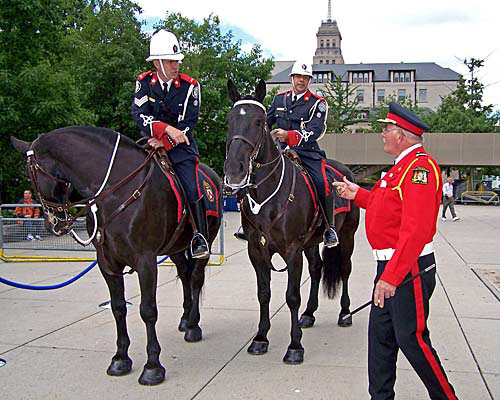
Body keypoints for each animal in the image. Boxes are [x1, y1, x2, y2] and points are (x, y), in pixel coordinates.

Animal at [11, 127, 223, 384]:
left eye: (30, 173)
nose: (54, 223)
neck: (114, 193)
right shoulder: (107, 263)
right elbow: (118, 307)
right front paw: (120, 358)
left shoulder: (145, 262)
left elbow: (147, 310)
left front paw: (152, 367)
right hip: (176, 248)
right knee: (184, 274)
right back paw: (185, 318)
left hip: (205, 241)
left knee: (195, 279)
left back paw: (193, 326)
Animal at [224, 79, 360, 364]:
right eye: (230, 120)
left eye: (259, 122)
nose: (234, 171)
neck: (268, 197)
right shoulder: (257, 250)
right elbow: (264, 293)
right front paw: (260, 338)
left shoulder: (292, 251)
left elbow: (292, 296)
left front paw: (295, 346)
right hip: (312, 242)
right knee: (317, 268)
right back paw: (309, 314)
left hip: (347, 236)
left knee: (344, 269)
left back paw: (345, 313)